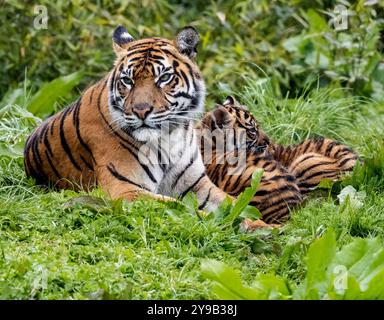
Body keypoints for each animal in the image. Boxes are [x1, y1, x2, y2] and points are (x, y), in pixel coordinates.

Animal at [24, 25, 230, 212]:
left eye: (164, 78)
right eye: (127, 81)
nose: (141, 111)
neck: (169, 136)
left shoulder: (198, 184)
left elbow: (230, 202)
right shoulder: (125, 189)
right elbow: (184, 209)